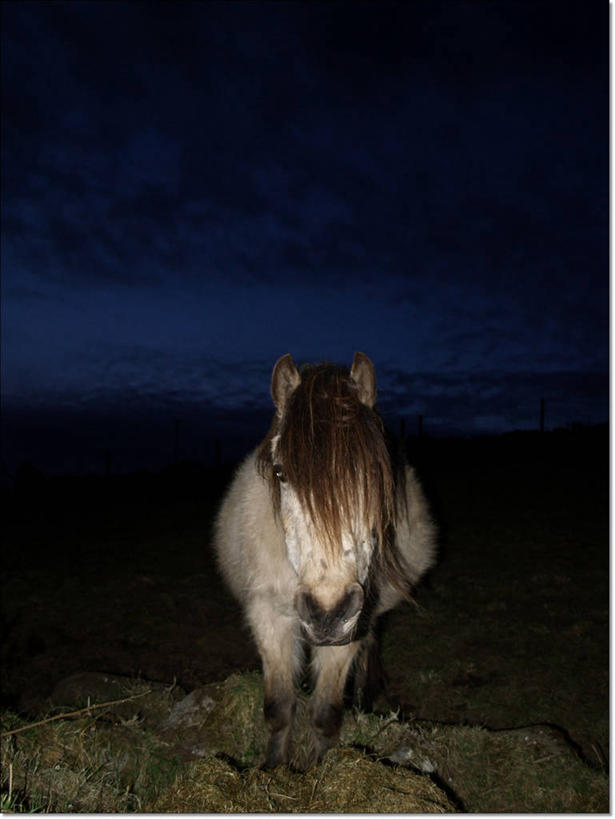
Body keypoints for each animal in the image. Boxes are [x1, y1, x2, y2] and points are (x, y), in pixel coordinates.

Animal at [214, 352, 436, 768]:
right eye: (280, 472)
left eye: (371, 471)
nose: (327, 613)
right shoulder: (268, 617)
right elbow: (280, 707)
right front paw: (272, 769)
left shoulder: (348, 631)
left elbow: (325, 714)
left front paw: (319, 771)